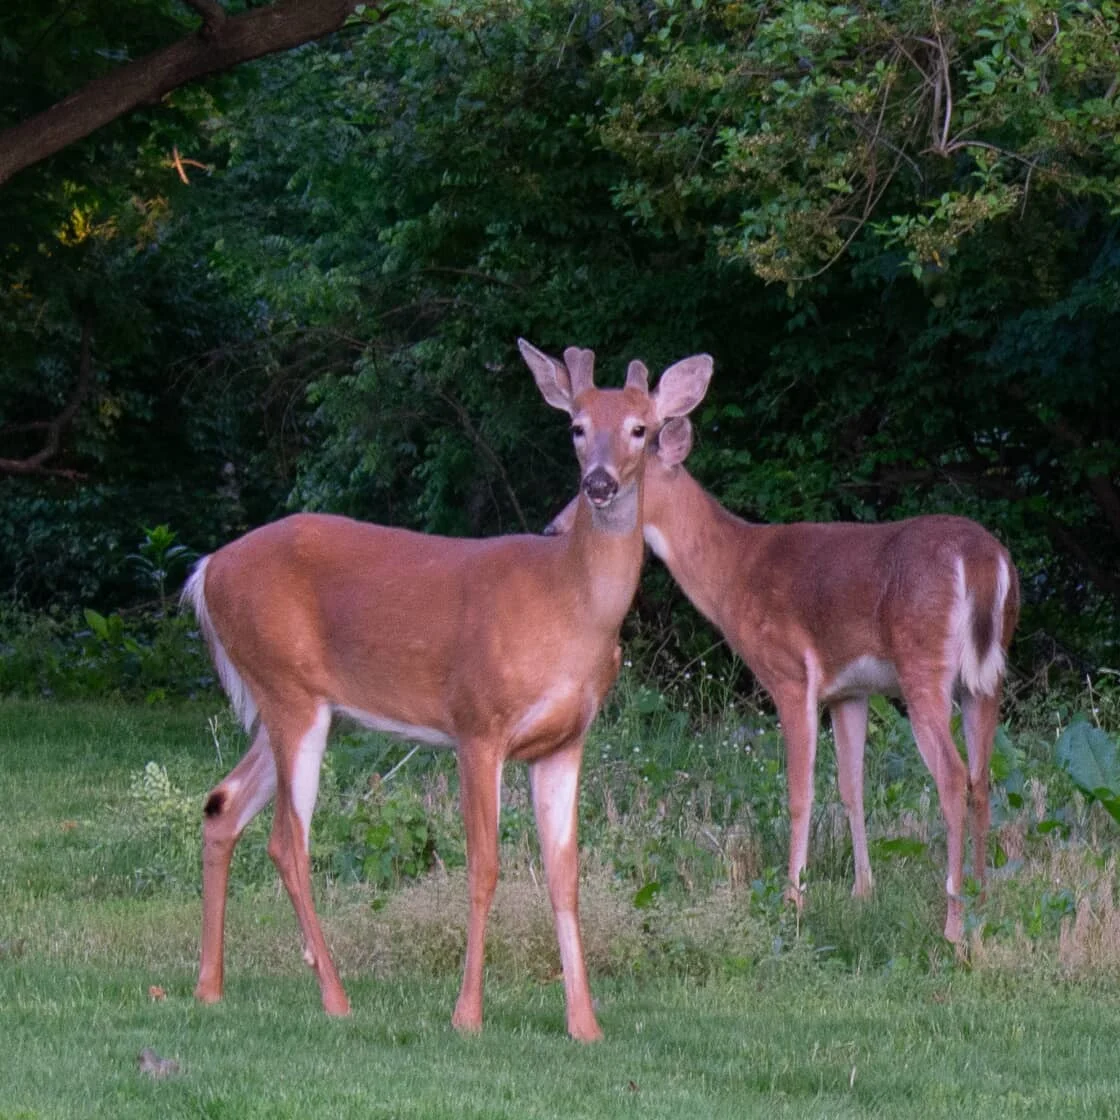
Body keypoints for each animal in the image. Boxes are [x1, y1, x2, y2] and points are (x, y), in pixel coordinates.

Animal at [180, 338, 712, 1039]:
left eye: (640, 429)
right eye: (575, 427)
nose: (597, 483)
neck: (569, 607)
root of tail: (207, 570)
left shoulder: (566, 741)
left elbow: (564, 875)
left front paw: (585, 1024)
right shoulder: (477, 722)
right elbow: (484, 868)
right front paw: (467, 1015)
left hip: (297, 704)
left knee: (223, 805)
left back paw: (209, 989)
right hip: (288, 690)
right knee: (288, 842)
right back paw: (335, 998)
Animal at [546, 416, 1021, 940]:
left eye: (612, 482)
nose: (554, 529)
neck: (733, 571)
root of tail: (983, 560)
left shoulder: (790, 673)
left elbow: (799, 792)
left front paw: (793, 899)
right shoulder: (849, 691)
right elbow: (851, 787)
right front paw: (862, 892)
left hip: (924, 665)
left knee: (954, 777)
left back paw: (953, 924)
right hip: (986, 679)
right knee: (982, 779)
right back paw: (983, 901)